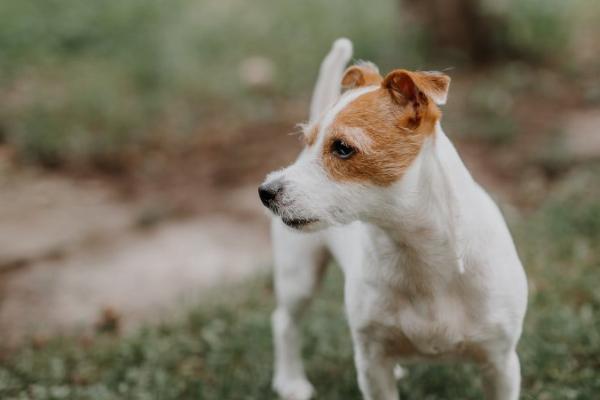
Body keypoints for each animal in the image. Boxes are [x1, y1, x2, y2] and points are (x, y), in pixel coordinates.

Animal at [256, 38, 524, 400]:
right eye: (307, 141)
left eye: (342, 148)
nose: (265, 192)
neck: (416, 252)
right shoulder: (372, 362)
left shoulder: (500, 363)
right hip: (298, 275)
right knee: (284, 322)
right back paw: (290, 381)